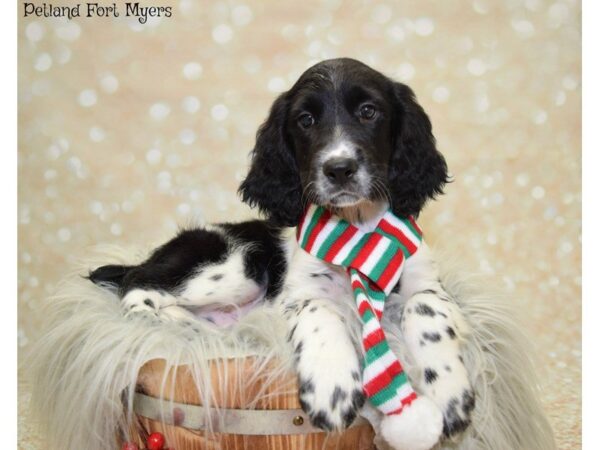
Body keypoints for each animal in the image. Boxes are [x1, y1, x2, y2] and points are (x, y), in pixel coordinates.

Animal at [88, 57, 474, 446]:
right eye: (306, 120)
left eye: (369, 111)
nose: (339, 169)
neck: (358, 228)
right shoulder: (300, 293)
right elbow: (321, 310)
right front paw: (332, 388)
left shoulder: (428, 284)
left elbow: (423, 308)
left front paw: (449, 392)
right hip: (236, 267)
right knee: (137, 285)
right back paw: (170, 322)